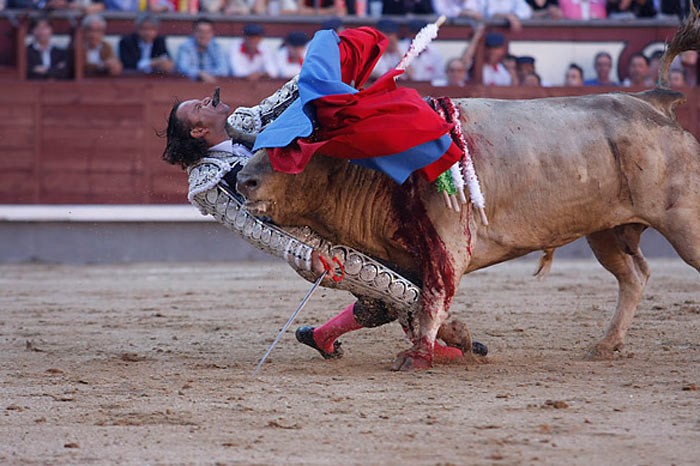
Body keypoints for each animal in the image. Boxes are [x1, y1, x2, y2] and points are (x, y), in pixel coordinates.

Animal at [237, 15, 700, 372]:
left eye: (295, 146)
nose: (243, 180)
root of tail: (654, 100)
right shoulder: (403, 258)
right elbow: (402, 302)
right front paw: (460, 340)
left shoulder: (447, 245)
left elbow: (429, 302)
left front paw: (419, 357)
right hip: (605, 231)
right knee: (633, 276)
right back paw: (606, 345)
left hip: (682, 221)